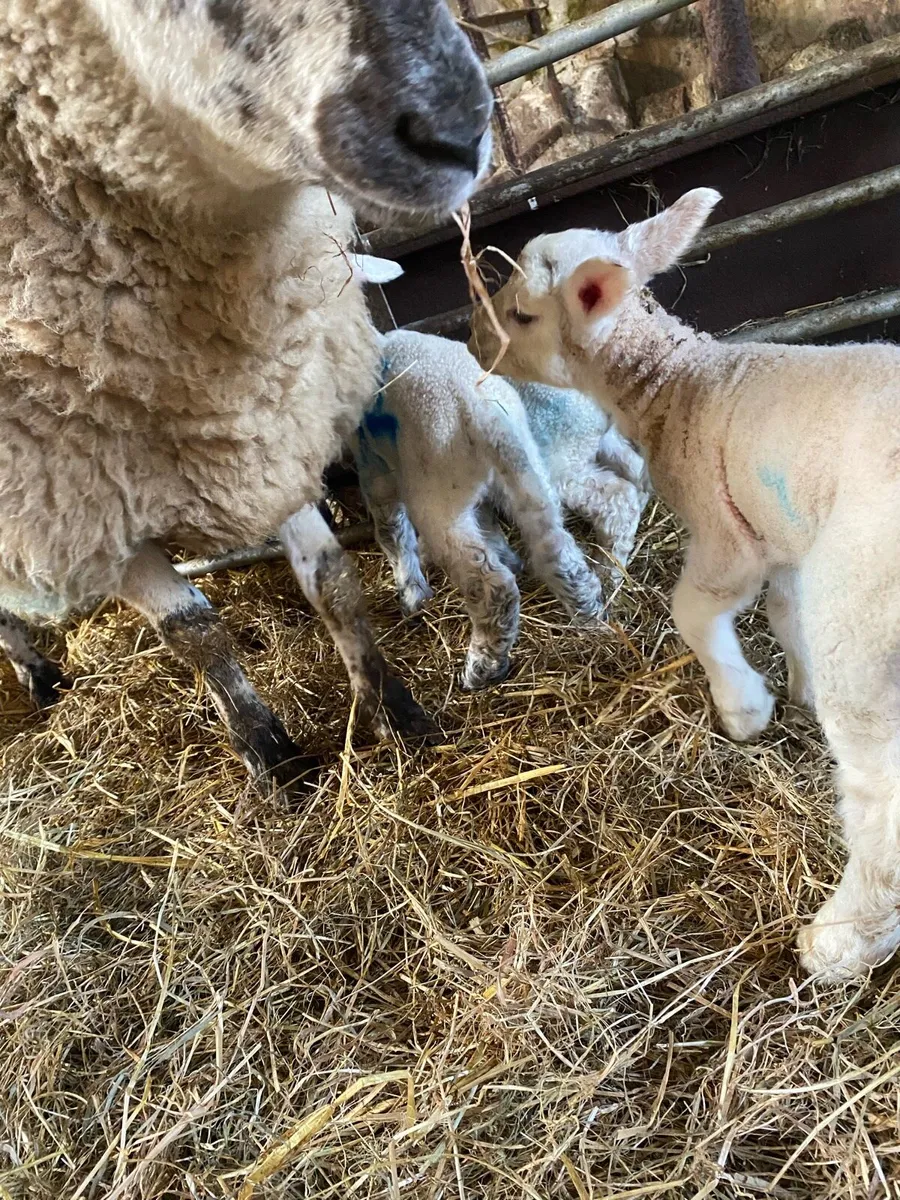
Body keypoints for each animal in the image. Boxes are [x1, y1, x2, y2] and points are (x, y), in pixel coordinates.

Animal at [0, 0, 491, 788]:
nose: (462, 129)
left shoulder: (264, 427)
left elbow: (332, 580)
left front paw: (394, 712)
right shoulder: (83, 506)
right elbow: (193, 632)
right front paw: (269, 752)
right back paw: (36, 672)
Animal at [353, 330, 606, 690]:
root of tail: (485, 413)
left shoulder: (374, 468)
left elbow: (391, 530)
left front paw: (412, 595)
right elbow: (488, 522)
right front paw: (509, 557)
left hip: (438, 491)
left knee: (492, 587)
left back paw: (483, 668)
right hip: (526, 469)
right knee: (557, 549)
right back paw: (589, 615)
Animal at [469, 186, 900, 981]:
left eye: (522, 314)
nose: (479, 346)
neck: (682, 381)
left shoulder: (728, 540)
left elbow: (693, 612)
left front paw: (745, 708)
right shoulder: (781, 533)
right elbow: (786, 611)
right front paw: (797, 688)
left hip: (861, 617)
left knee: (881, 802)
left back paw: (841, 940)